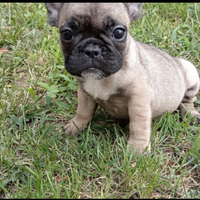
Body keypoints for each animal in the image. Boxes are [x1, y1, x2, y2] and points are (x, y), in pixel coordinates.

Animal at [45, 2, 200, 153]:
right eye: (66, 34)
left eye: (119, 32)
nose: (92, 50)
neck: (104, 79)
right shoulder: (85, 93)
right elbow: (83, 111)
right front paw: (75, 126)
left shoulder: (138, 101)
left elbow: (138, 126)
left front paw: (138, 149)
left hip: (190, 71)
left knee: (187, 101)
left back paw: (191, 114)